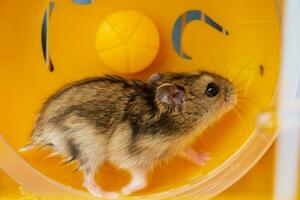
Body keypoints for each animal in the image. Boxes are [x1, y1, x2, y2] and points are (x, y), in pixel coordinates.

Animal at [20, 70, 237, 198]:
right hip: (88, 151)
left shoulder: (177, 146)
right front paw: (124, 191)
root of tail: (41, 133)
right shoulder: (131, 158)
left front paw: (206, 158)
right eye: (212, 90)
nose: (235, 90)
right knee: (87, 181)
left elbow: (189, 151)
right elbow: (141, 180)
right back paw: (111, 194)